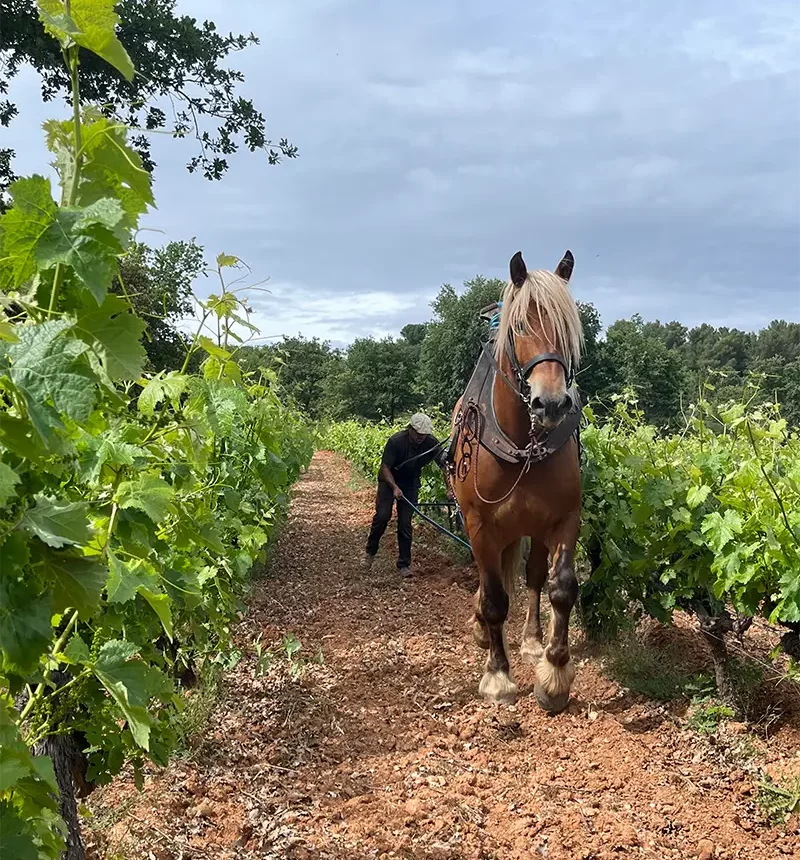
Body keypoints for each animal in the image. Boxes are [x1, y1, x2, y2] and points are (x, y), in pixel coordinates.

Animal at [449, 249, 583, 714]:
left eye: (567, 328)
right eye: (521, 325)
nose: (551, 403)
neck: (521, 443)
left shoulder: (565, 518)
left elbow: (561, 587)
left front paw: (555, 674)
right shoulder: (479, 525)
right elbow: (493, 599)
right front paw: (497, 676)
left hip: (532, 529)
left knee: (534, 576)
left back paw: (531, 640)